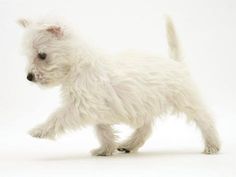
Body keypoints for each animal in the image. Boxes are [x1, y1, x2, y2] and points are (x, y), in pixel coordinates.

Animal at [18, 16, 219, 155]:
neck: (78, 64)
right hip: (145, 106)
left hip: (185, 100)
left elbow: (57, 117)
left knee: (205, 119)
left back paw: (212, 145)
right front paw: (105, 149)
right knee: (146, 129)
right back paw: (128, 145)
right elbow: (103, 130)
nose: (28, 77)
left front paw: (38, 131)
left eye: (42, 55)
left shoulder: (80, 106)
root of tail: (175, 63)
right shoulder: (97, 109)